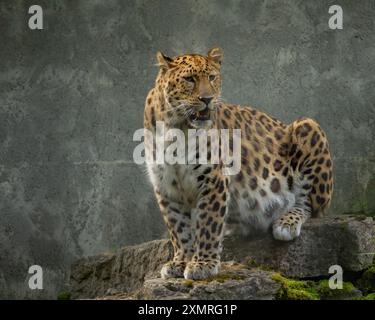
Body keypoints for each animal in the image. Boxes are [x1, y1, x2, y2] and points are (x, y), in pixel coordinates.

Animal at [142, 47, 334, 280]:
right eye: (189, 79)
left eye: (212, 77)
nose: (207, 99)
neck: (176, 126)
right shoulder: (166, 186)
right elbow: (178, 229)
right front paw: (181, 261)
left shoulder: (213, 179)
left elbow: (208, 223)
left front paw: (203, 264)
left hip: (307, 126)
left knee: (308, 206)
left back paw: (286, 222)